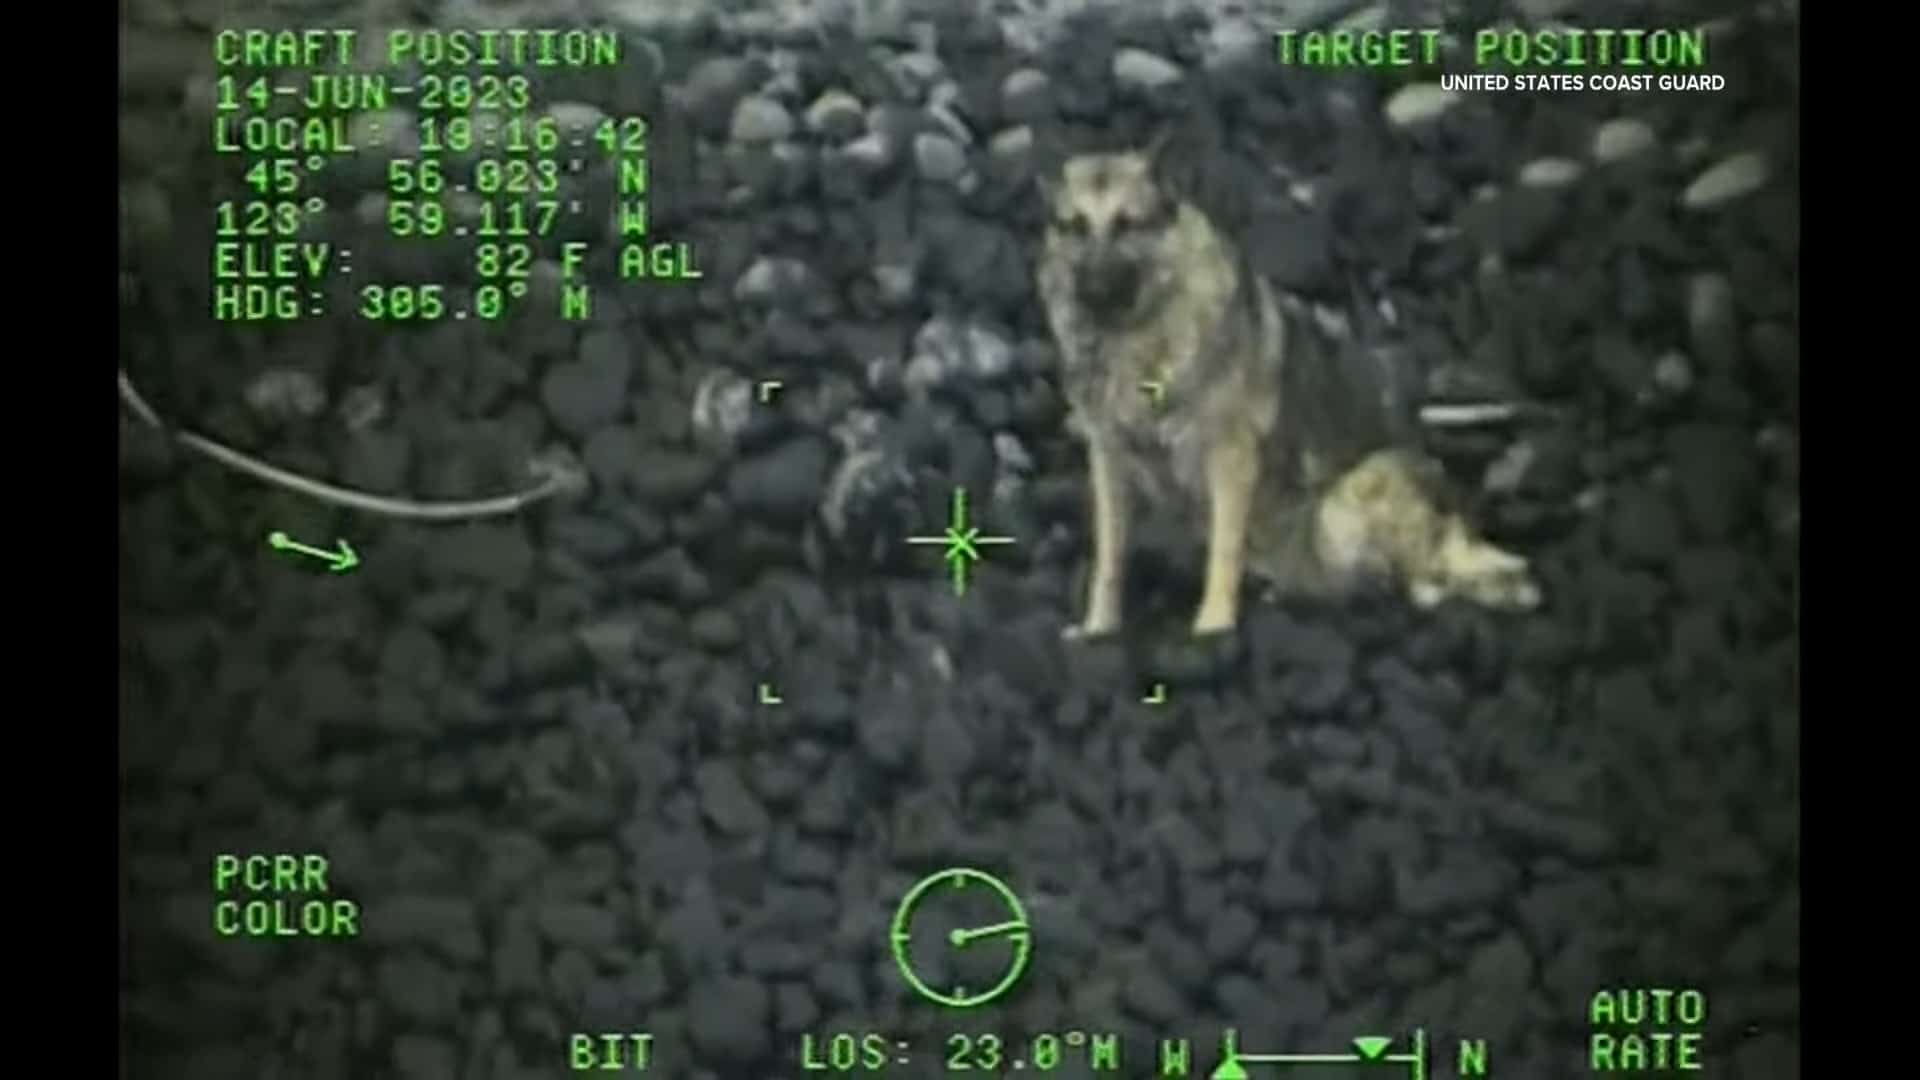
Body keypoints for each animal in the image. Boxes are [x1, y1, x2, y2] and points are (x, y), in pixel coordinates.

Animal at [1036, 137, 1543, 634]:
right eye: (1074, 226)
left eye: (1127, 225)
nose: (1090, 292)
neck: (1139, 334)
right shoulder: (1109, 459)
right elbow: (1110, 555)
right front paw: (1100, 626)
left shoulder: (1230, 457)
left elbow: (1224, 549)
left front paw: (1213, 625)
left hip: (1347, 500)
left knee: (1430, 579)